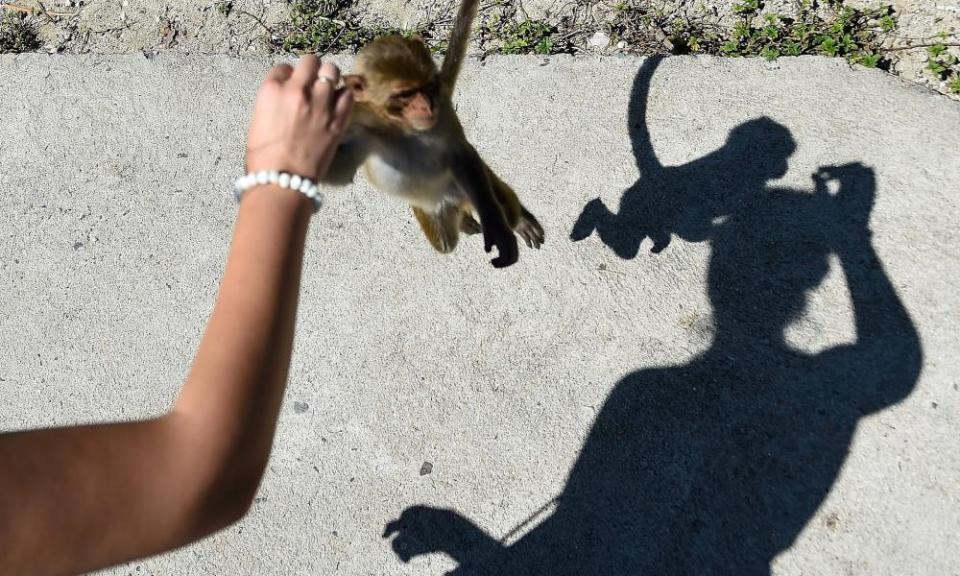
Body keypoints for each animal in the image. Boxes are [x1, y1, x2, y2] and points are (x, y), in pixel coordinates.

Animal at [320, 0, 544, 268]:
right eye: (405, 94)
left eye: (428, 87)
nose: (428, 106)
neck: (402, 127)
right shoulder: (358, 123)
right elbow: (341, 170)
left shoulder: (444, 112)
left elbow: (461, 154)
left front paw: (497, 227)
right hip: (438, 208)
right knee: (446, 242)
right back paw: (462, 221)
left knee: (496, 199)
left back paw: (517, 220)